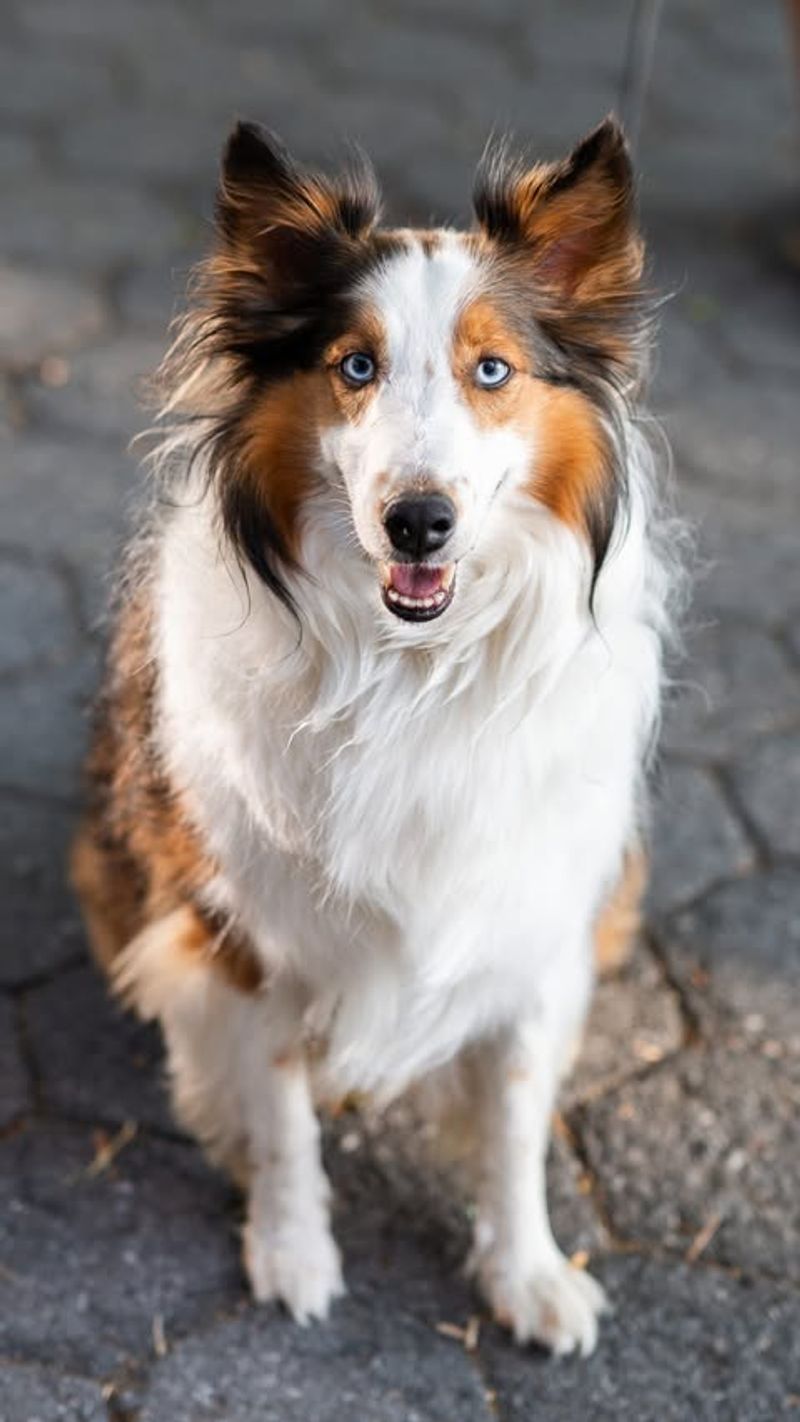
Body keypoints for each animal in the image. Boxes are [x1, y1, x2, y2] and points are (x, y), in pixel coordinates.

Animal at [70, 113, 676, 1353]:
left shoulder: (533, 918)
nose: (418, 522)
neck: (411, 670)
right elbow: (282, 1112)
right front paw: (291, 1249)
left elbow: (512, 1118)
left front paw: (526, 1271)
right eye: (354, 366)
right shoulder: (245, 932)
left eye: (491, 370)